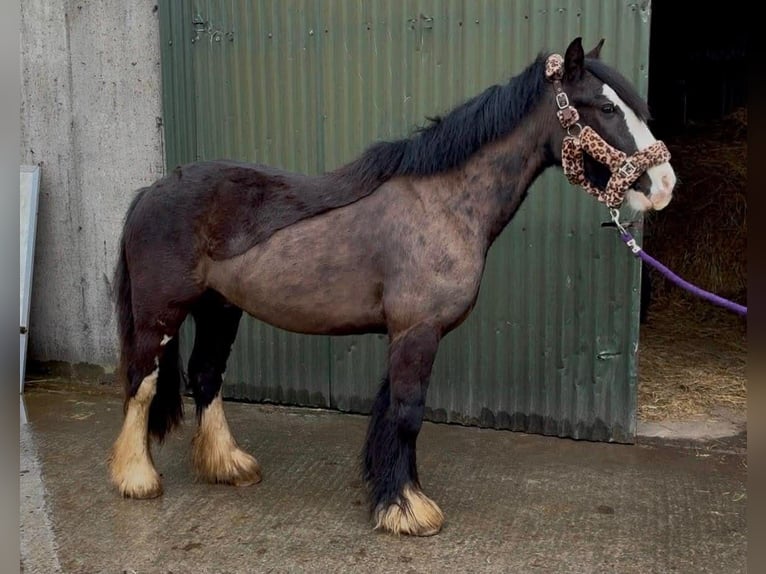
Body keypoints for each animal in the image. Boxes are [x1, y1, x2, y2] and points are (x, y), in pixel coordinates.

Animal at [109, 37, 676, 536]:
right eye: (605, 107)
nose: (665, 186)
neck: (445, 202)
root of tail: (152, 191)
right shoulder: (416, 332)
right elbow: (406, 414)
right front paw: (408, 510)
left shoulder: (405, 335)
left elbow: (393, 415)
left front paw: (392, 497)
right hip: (161, 314)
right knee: (142, 383)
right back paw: (137, 478)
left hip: (220, 309)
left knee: (206, 375)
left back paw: (227, 465)